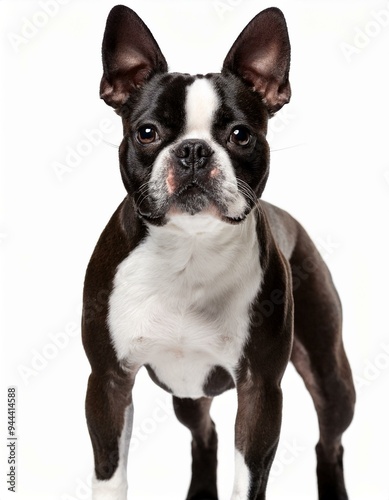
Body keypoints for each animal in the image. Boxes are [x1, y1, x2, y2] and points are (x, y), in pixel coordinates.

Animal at [82, 5, 354, 498]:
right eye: (146, 132)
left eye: (241, 135)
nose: (193, 150)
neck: (188, 249)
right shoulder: (109, 380)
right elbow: (110, 473)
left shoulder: (260, 388)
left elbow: (250, 477)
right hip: (188, 392)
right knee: (204, 433)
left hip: (331, 377)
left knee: (330, 441)